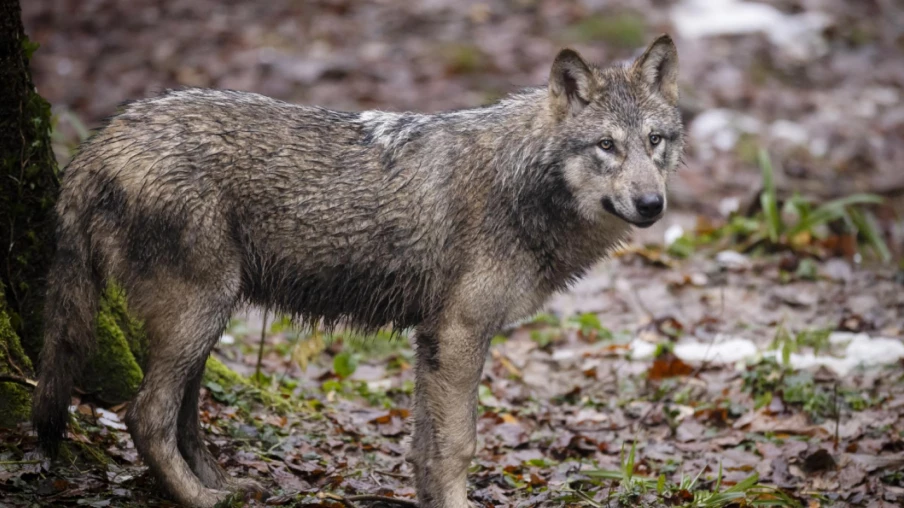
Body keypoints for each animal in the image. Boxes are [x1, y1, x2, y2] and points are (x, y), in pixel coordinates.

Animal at [32, 35, 683, 507]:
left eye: (655, 140)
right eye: (606, 146)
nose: (653, 204)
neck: (521, 182)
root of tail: (99, 143)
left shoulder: (432, 341)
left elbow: (425, 449)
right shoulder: (459, 334)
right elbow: (459, 445)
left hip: (203, 322)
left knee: (182, 415)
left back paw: (223, 485)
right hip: (198, 314)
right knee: (145, 415)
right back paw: (200, 499)